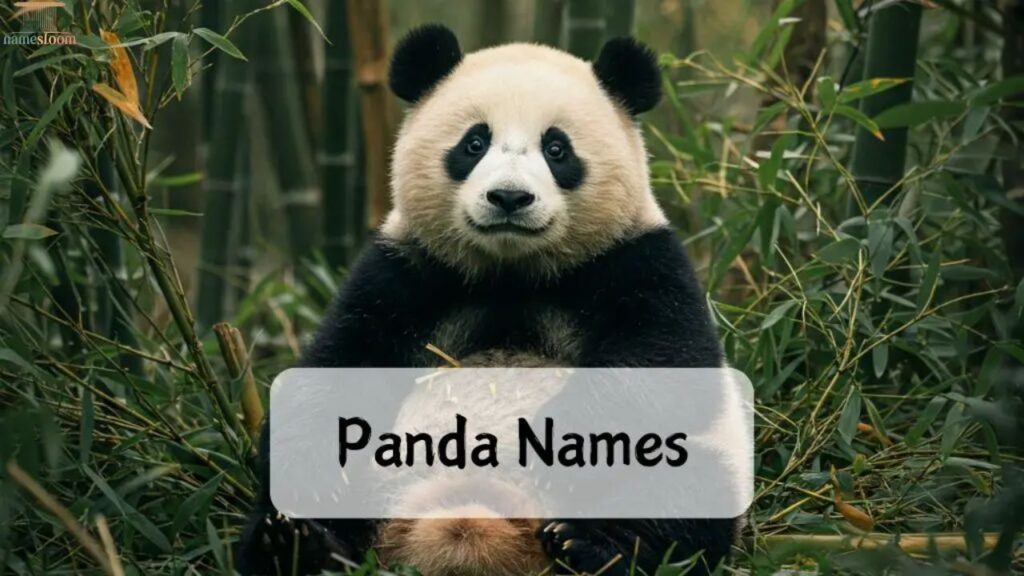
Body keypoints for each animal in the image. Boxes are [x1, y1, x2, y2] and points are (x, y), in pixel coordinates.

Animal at [237, 24, 742, 576]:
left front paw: (553, 441)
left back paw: (589, 546)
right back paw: (295, 544)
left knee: (681, 499)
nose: (509, 197)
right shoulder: (406, 270)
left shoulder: (638, 260)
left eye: (557, 149)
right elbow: (340, 364)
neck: (512, 273)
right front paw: (313, 479)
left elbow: (664, 365)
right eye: (474, 143)